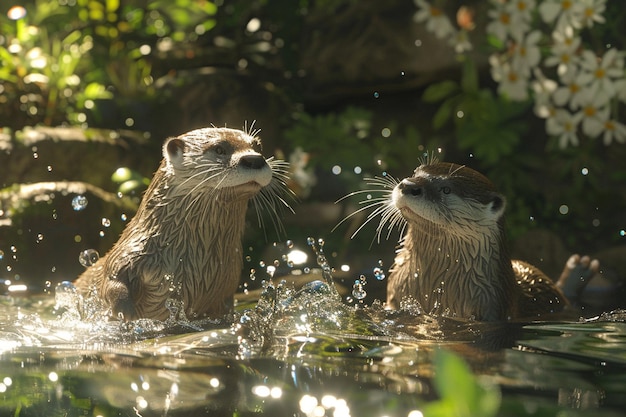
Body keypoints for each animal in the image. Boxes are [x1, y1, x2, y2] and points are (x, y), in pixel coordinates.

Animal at [72, 125, 290, 320]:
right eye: (219, 149)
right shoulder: (128, 253)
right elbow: (112, 280)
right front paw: (125, 313)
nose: (254, 159)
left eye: (257, 146)